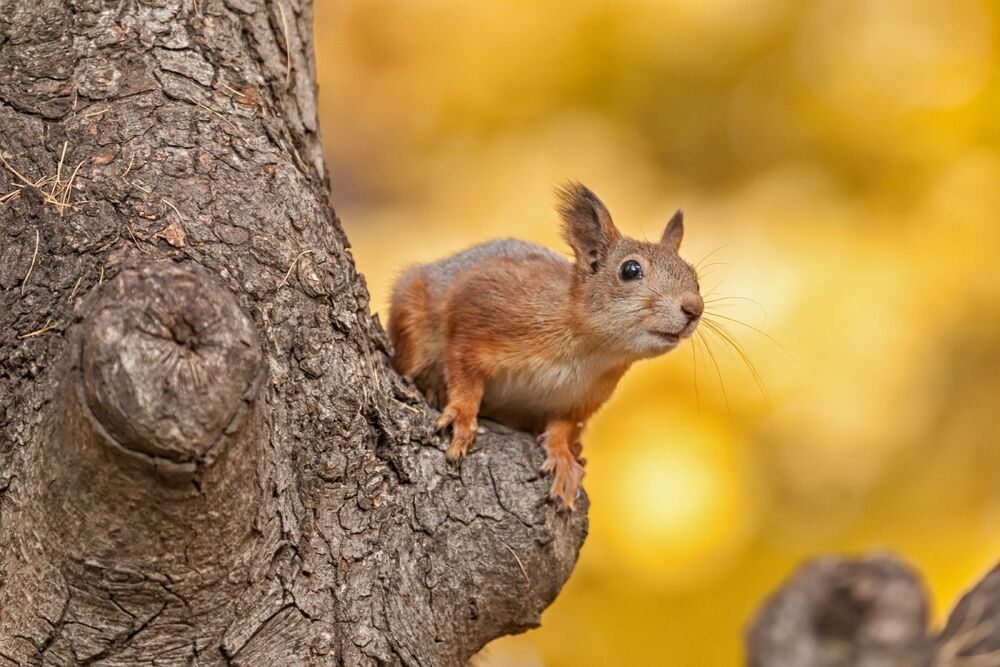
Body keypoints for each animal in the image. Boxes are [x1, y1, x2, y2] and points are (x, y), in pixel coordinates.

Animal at [388, 183, 703, 509]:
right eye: (630, 270)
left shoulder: (582, 398)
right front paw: (463, 416)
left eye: (694, 278)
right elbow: (466, 373)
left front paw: (562, 455)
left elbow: (563, 425)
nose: (694, 308)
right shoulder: (478, 308)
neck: (591, 351)